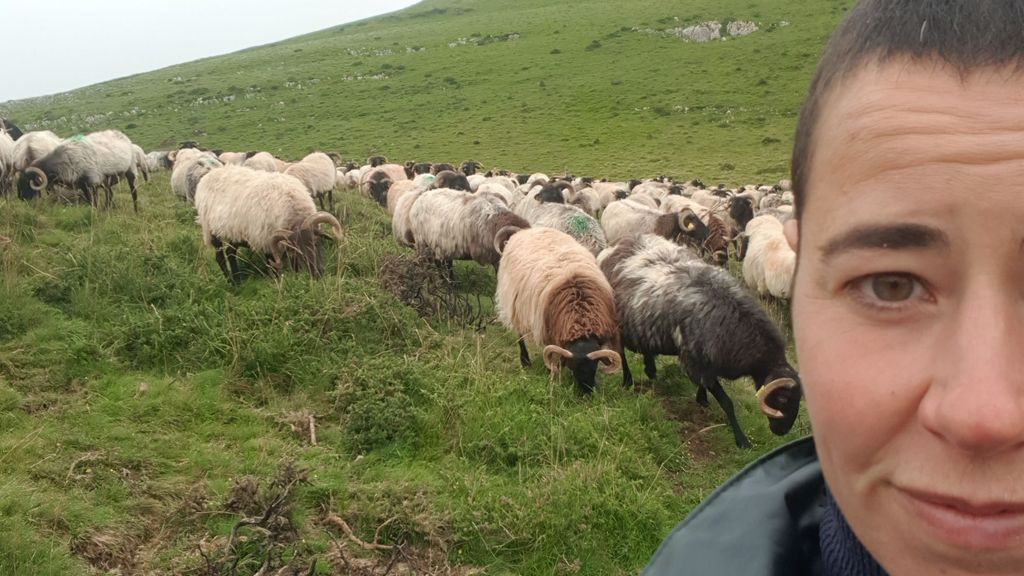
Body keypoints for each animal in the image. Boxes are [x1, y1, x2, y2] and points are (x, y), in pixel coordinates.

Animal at [193, 162, 346, 280]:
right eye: (297, 251)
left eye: (316, 242)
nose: (317, 274)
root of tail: (208, 176)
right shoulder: (266, 242)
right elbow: (274, 269)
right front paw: (278, 282)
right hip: (212, 231)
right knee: (220, 257)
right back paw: (232, 283)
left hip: (235, 231)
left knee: (230, 252)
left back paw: (237, 279)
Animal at [491, 224, 618, 389]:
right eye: (572, 366)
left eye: (595, 365)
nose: (586, 391)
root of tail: (525, 231)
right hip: (515, 307)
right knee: (520, 336)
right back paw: (525, 361)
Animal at [598, 230, 802, 446]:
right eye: (782, 398)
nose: (781, 431)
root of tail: (617, 245)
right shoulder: (696, 361)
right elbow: (726, 402)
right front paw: (741, 439)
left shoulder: (703, 362)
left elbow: (706, 386)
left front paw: (702, 399)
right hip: (616, 322)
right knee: (620, 353)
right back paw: (627, 381)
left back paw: (650, 369)